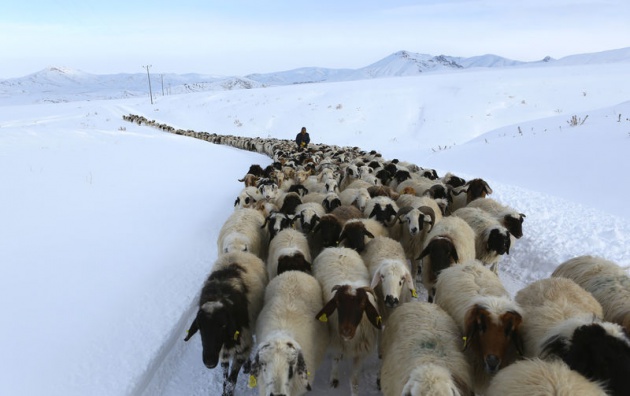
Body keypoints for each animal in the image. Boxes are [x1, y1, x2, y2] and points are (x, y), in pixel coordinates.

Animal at [185, 252, 270, 396]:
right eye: (200, 327)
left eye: (223, 325)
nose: (209, 362)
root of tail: (241, 252)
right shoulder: (223, 351)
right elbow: (225, 376)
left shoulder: (242, 343)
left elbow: (231, 380)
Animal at [314, 246, 382, 394]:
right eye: (337, 302)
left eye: (363, 304)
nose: (346, 331)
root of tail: (338, 247)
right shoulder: (336, 341)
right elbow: (335, 359)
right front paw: (334, 378)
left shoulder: (360, 353)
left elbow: (354, 380)